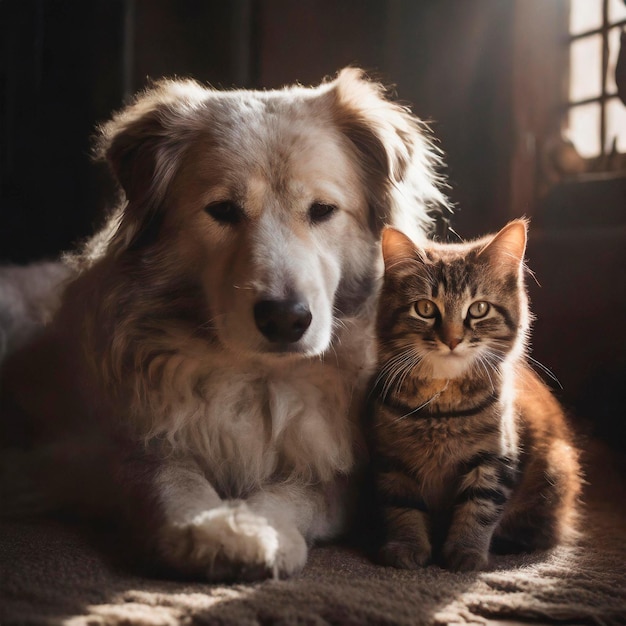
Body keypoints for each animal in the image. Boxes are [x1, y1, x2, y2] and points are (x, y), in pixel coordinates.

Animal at [1, 66, 448, 576]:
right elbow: (170, 477)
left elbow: (296, 493)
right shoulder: (133, 443)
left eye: (322, 211)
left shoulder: (344, 476)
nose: (285, 319)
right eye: (222, 211)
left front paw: (258, 528)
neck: (258, 378)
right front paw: (206, 528)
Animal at [366, 219, 580, 572]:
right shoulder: (393, 460)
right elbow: (403, 508)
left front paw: (466, 553)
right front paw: (406, 547)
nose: (452, 339)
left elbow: (478, 509)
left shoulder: (493, 458)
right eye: (425, 308)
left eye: (479, 309)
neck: (441, 406)